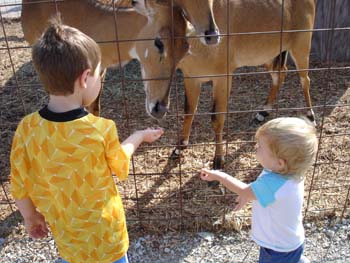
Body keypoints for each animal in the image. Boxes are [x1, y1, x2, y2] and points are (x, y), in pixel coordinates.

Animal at [146, 0, 318, 169]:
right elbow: (189, 110)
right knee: (280, 73)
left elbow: (217, 117)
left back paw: (310, 115)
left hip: (301, 47)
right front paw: (179, 147)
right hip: (266, 55)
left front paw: (218, 160)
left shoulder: (223, 77)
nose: (212, 34)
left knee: (305, 79)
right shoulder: (191, 77)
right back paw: (263, 112)